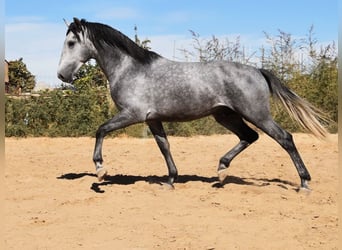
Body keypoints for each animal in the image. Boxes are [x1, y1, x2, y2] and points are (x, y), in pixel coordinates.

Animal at [57, 17, 328, 189]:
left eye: (71, 43)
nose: (62, 75)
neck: (130, 68)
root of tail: (258, 71)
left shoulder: (133, 114)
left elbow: (101, 130)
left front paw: (100, 170)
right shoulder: (152, 119)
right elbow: (164, 147)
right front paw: (170, 180)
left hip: (256, 114)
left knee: (284, 138)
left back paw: (304, 182)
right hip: (226, 115)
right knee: (249, 137)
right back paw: (221, 171)